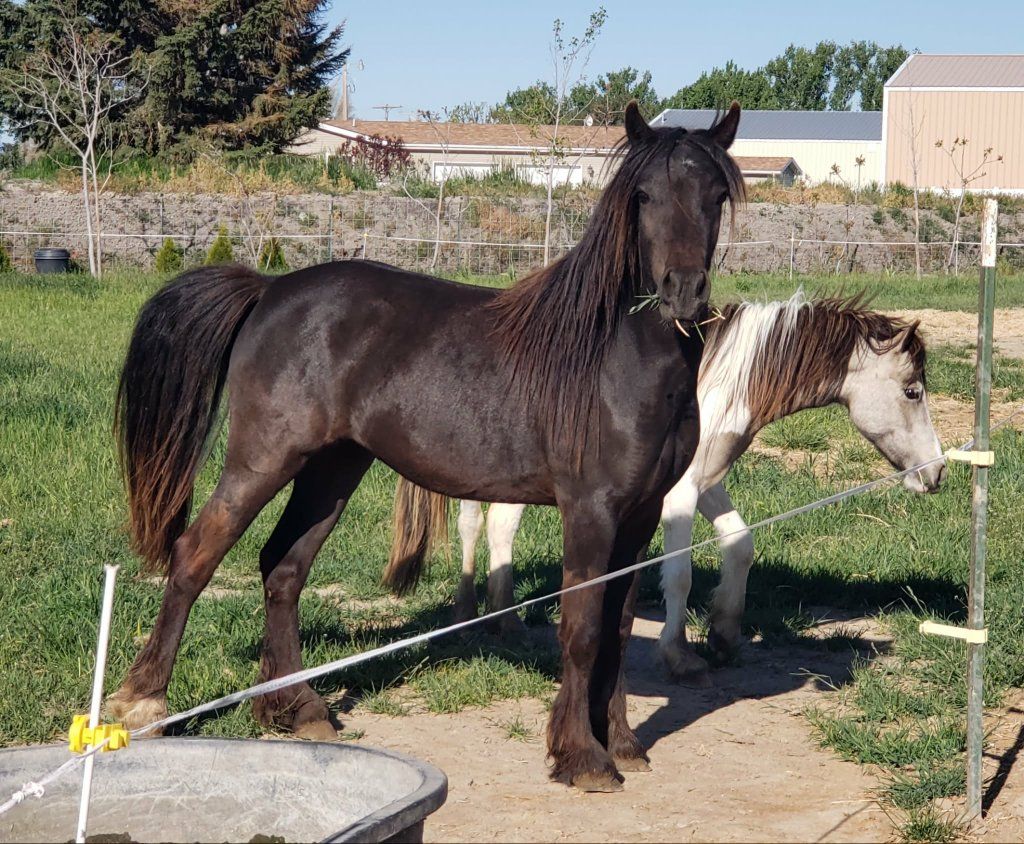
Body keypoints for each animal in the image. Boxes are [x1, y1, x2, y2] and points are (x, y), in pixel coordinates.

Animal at [107, 102, 745, 793]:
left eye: (716, 195)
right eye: (644, 195)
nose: (684, 290)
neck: (614, 356)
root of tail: (270, 290)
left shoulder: (641, 513)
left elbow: (619, 627)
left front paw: (622, 742)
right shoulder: (591, 511)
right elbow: (581, 630)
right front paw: (582, 756)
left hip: (333, 469)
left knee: (282, 568)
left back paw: (298, 708)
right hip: (263, 460)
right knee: (195, 555)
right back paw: (143, 703)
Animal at [396, 291, 945, 683]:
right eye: (912, 391)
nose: (937, 473)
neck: (718, 385)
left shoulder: (706, 482)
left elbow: (740, 544)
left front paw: (724, 635)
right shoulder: (676, 496)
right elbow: (678, 574)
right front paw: (678, 655)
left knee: (483, 523)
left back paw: (480, 615)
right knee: (492, 526)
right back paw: (500, 621)